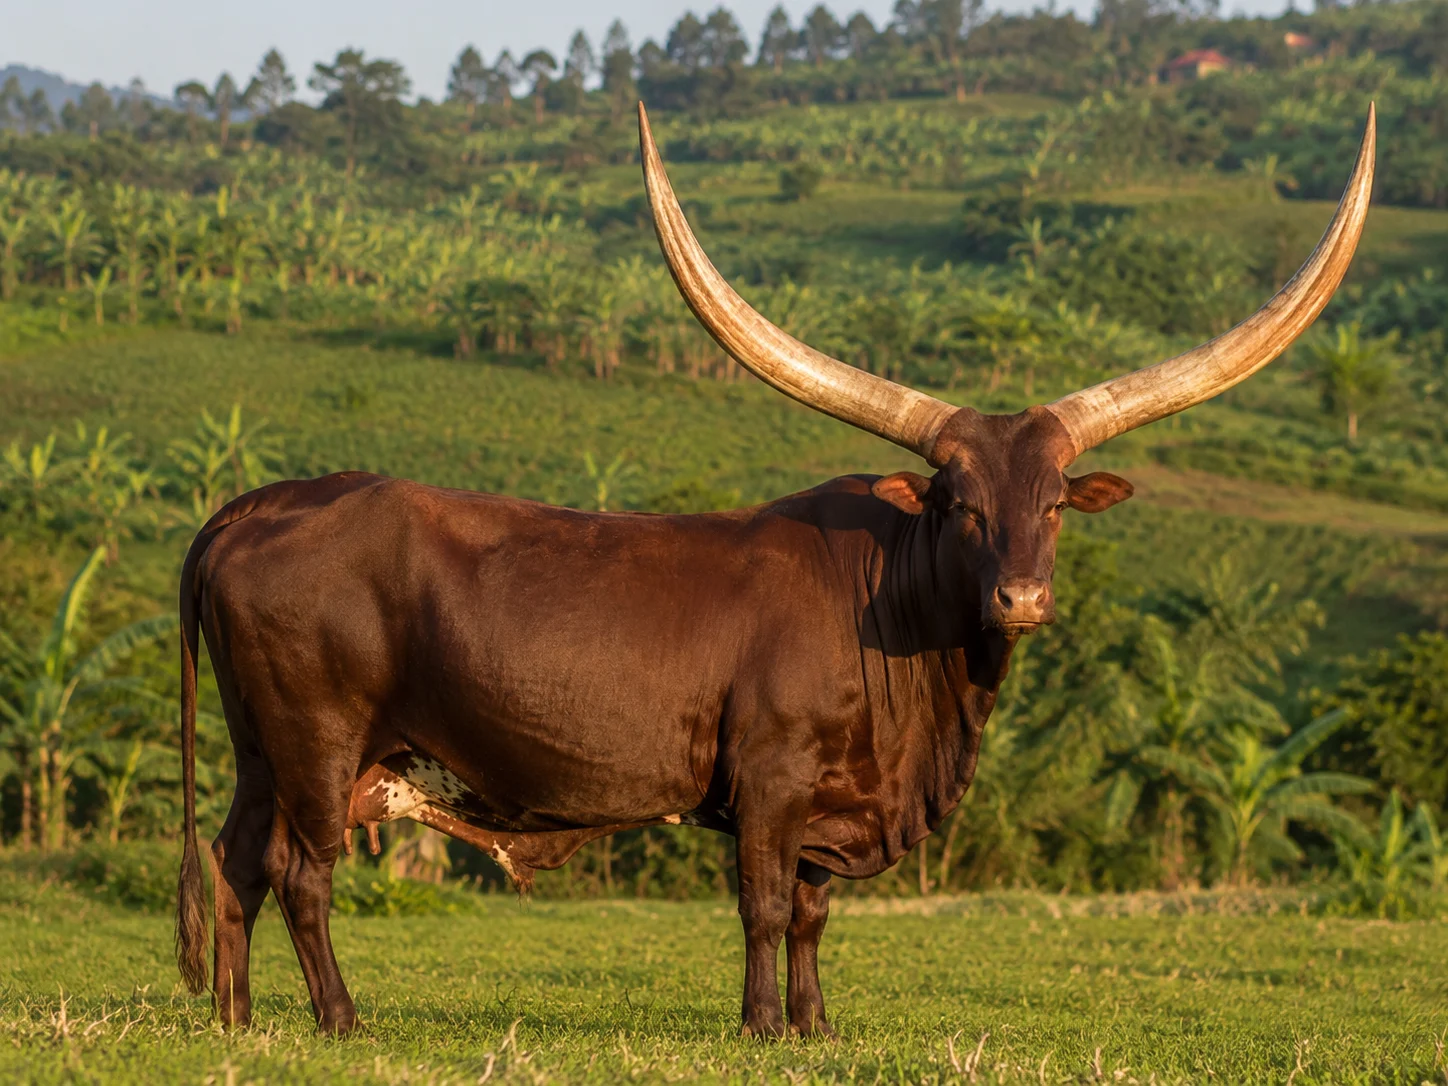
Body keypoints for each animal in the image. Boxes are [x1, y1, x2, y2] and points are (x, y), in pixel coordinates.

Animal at [174, 103, 1374, 1039]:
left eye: (1051, 507)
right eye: (962, 505)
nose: (1021, 597)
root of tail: (260, 500)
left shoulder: (830, 806)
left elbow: (808, 916)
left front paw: (815, 1027)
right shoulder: (767, 782)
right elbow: (758, 906)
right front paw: (757, 1028)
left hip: (259, 745)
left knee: (234, 862)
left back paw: (236, 1020)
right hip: (319, 742)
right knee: (302, 871)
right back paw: (338, 1019)